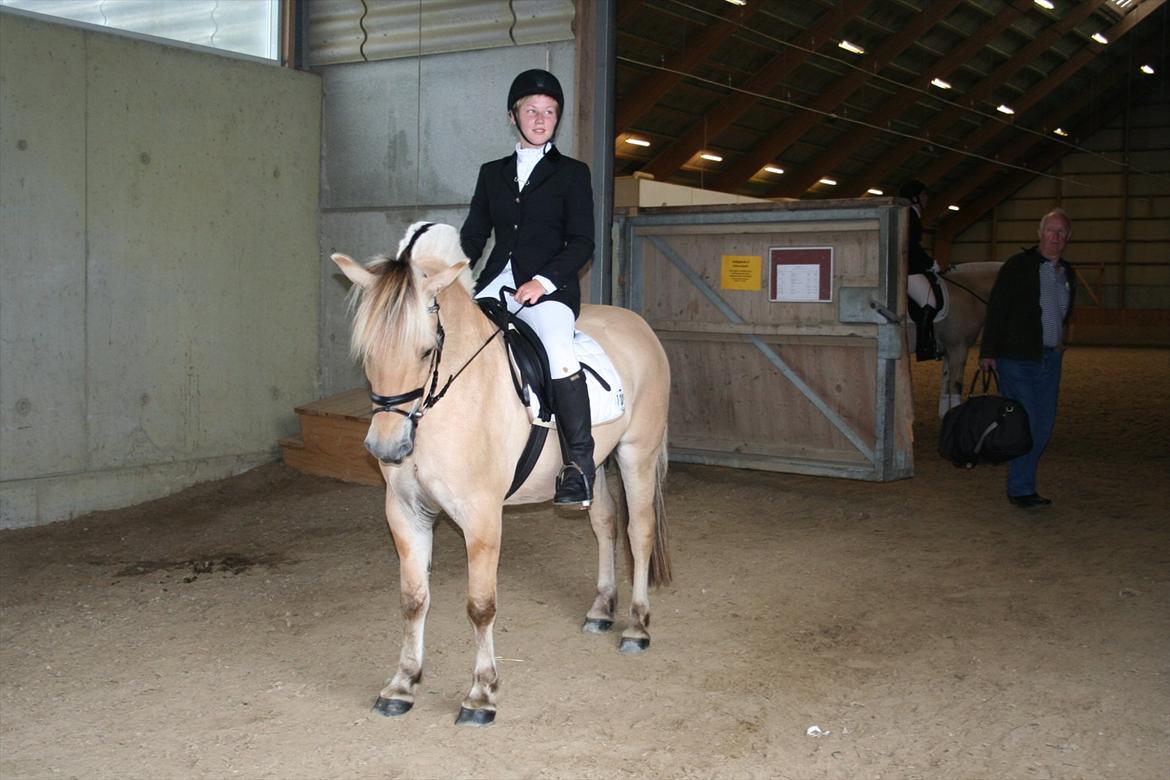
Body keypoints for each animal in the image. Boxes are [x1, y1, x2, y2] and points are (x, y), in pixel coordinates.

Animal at [334, 222, 673, 729]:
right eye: (367, 351)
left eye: (427, 350)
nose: (386, 448)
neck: (446, 401)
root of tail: (637, 324)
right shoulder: (405, 511)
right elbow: (413, 599)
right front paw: (402, 684)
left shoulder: (481, 517)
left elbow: (480, 606)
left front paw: (481, 694)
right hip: (593, 463)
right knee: (604, 523)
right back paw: (600, 608)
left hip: (637, 455)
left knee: (640, 530)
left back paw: (636, 626)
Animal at [907, 261, 1001, 418]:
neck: (968, 294)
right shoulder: (959, 348)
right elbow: (955, 385)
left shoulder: (948, 351)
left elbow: (946, 384)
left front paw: (945, 415)